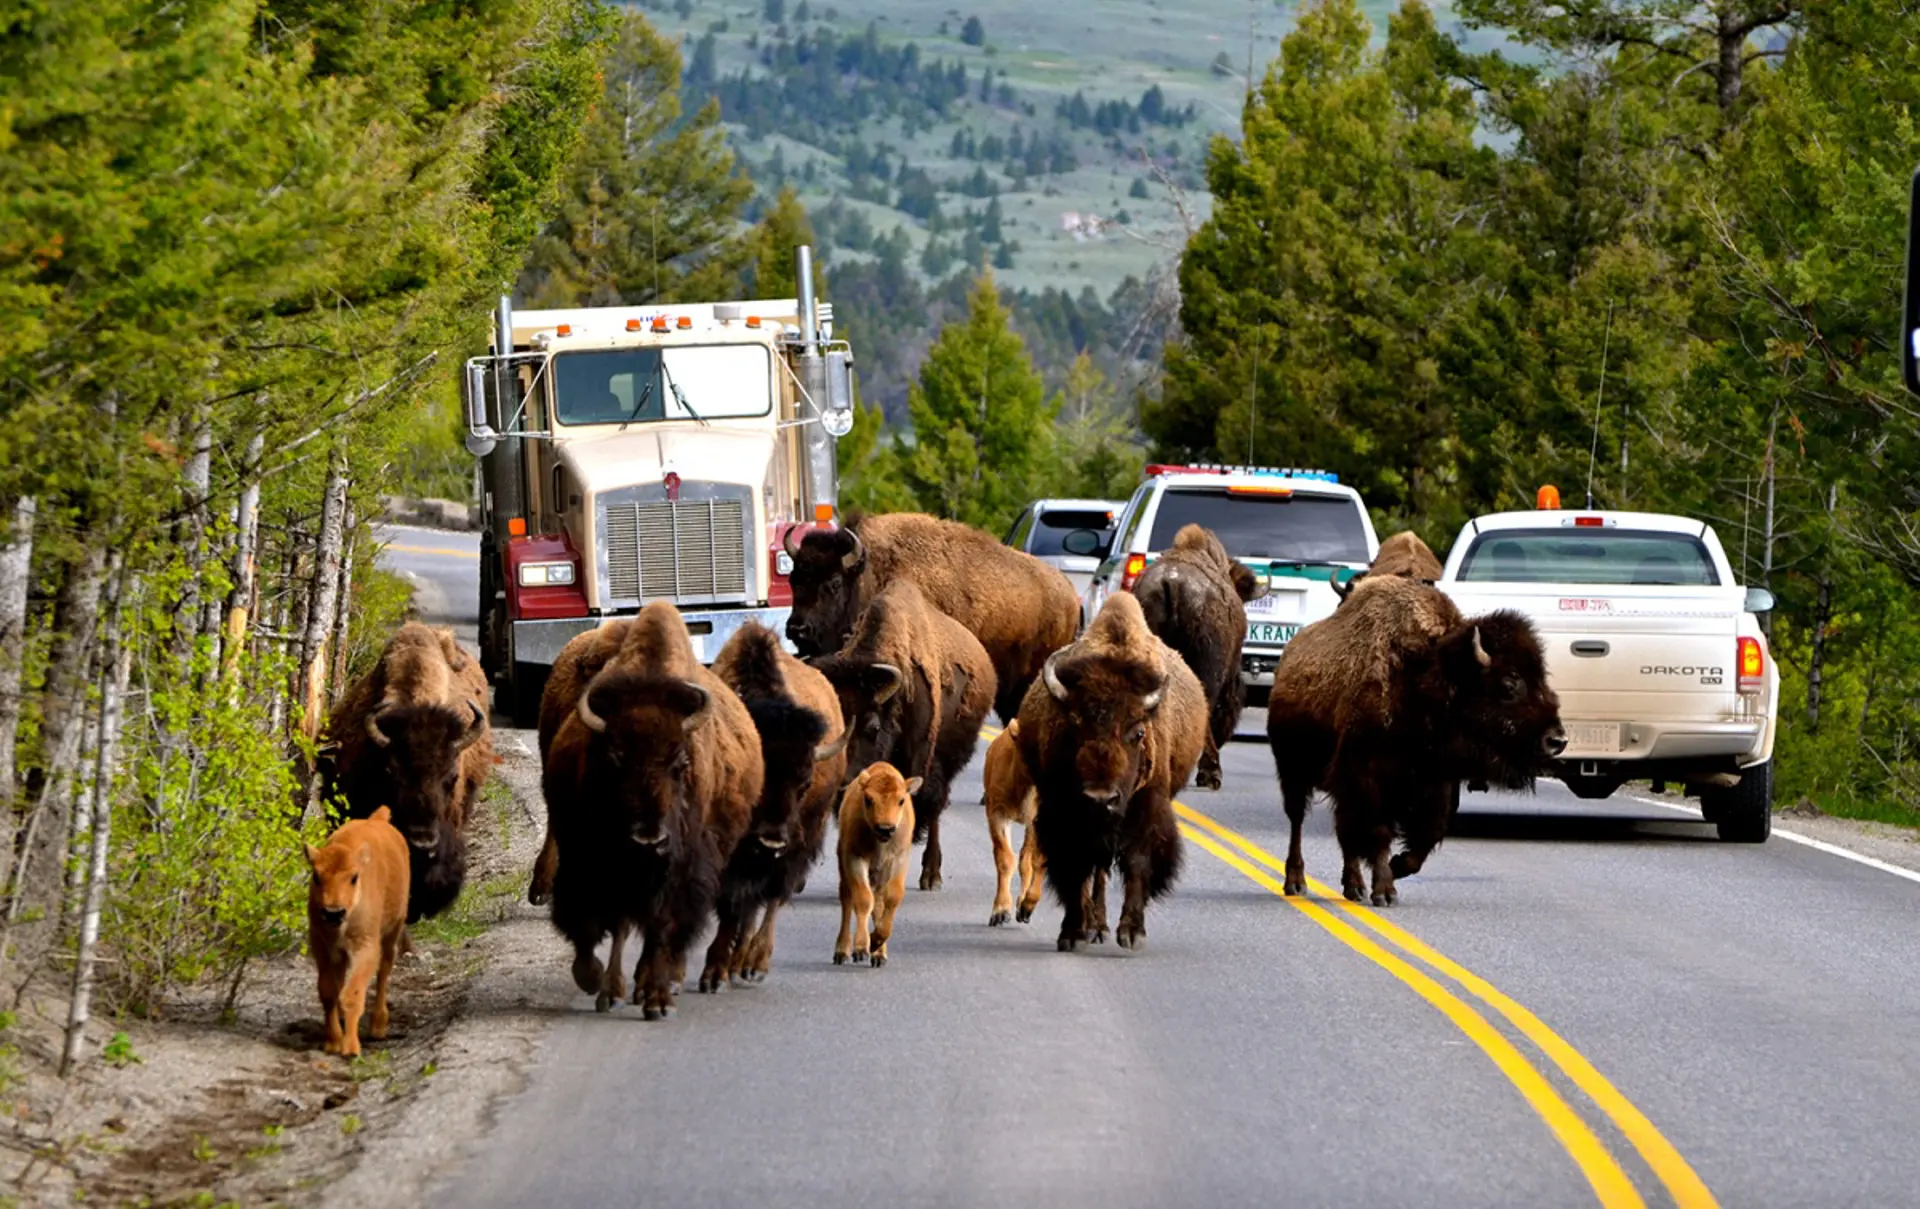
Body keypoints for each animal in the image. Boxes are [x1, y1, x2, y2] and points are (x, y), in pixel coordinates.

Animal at [540, 603, 762, 1019]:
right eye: (613, 759)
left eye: (681, 761)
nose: (648, 839)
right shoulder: (589, 858)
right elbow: (597, 923)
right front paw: (597, 982)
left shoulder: (677, 871)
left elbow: (660, 928)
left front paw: (657, 1000)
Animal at [1015, 592, 1207, 953]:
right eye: (1073, 726)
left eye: (1139, 732)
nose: (1100, 798)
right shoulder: (1064, 813)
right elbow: (1075, 866)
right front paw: (1072, 933)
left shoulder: (1147, 808)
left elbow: (1137, 862)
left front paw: (1132, 934)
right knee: (1096, 871)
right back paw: (1093, 926)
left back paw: (1102, 926)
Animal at [1266, 576, 1566, 906]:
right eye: (1509, 684)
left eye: (1543, 679)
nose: (1556, 740)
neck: (1423, 678)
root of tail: (1288, 657)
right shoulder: (1369, 779)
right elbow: (1379, 832)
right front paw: (1385, 891)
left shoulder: (1435, 784)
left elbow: (1426, 836)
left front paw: (1396, 868)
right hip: (1293, 770)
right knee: (1298, 820)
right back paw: (1296, 882)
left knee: (1344, 830)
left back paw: (1354, 886)